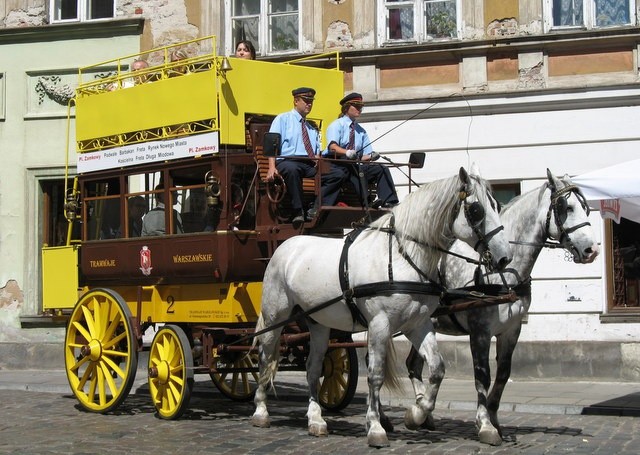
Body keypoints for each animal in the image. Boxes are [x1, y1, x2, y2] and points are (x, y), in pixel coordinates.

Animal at [248, 166, 512, 448]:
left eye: (497, 205)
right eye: (476, 210)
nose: (505, 257)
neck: (402, 257)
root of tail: (286, 245)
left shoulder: (418, 324)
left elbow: (437, 368)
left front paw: (417, 414)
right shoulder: (379, 324)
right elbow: (375, 374)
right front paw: (375, 426)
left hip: (318, 322)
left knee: (313, 367)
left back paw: (316, 419)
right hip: (275, 316)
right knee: (265, 358)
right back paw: (261, 411)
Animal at [404, 170, 600, 446]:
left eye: (586, 208)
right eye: (566, 207)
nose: (592, 250)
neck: (502, 271)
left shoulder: (511, 329)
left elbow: (503, 373)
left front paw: (495, 419)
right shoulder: (480, 331)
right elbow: (482, 374)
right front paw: (485, 424)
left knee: (413, 365)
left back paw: (423, 414)